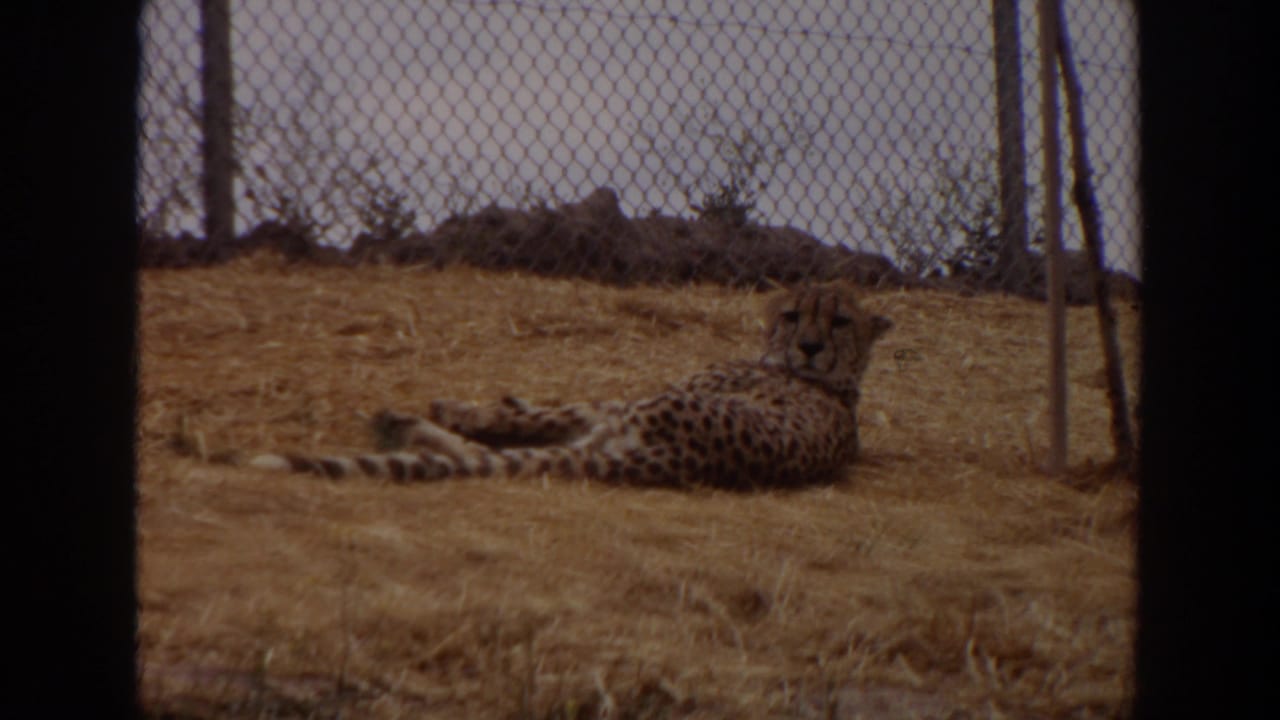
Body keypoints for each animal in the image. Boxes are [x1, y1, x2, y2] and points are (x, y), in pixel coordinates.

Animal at [240, 282, 892, 491]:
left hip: (634, 415)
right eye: (793, 315)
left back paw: (411, 422)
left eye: (839, 320)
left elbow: (542, 412)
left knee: (505, 444)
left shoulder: (626, 400)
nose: (809, 347)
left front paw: (477, 405)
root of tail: (684, 460)